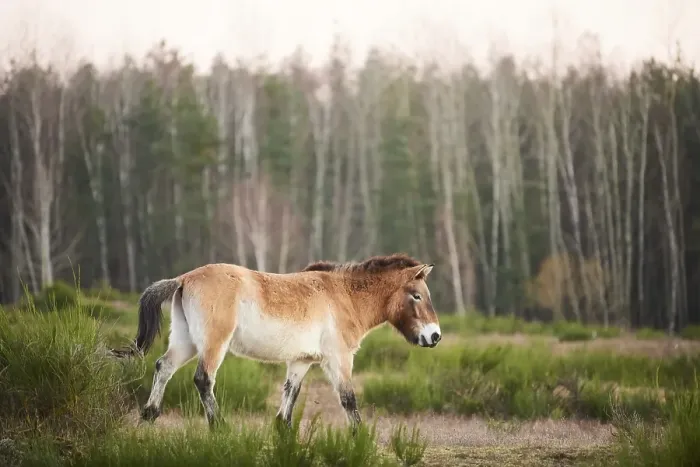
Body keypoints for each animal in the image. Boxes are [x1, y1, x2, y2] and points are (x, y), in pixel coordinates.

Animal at [111, 253, 442, 432]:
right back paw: (220, 427)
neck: (343, 296)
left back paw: (149, 415)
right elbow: (349, 399)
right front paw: (360, 438)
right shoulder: (338, 359)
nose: (435, 336)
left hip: (187, 342)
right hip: (213, 344)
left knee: (163, 367)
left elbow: (288, 400)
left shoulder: (301, 361)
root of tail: (184, 278)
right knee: (203, 379)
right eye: (417, 295)